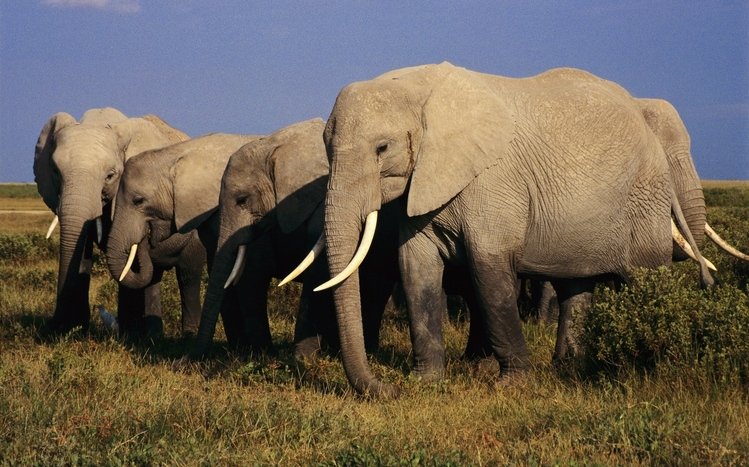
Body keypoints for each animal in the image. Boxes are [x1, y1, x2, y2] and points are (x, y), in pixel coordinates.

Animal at [294, 62, 714, 397]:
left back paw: (653, 368)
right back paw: (569, 368)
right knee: (576, 289)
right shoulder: (422, 184)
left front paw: (511, 386)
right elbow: (416, 271)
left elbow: (490, 275)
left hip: (644, 200)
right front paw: (426, 383)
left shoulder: (495, 182)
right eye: (326, 148)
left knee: (645, 281)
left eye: (382, 148)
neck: (419, 88)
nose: (388, 387)